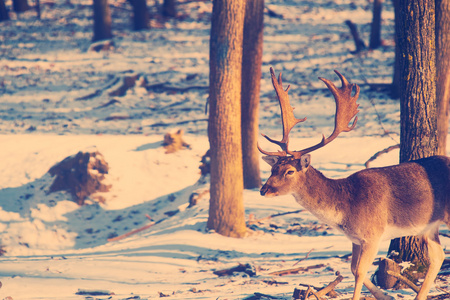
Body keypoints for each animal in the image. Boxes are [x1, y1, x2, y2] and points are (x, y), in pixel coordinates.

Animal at [256, 67, 450, 300]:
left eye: (289, 171)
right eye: (272, 169)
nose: (264, 190)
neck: (344, 209)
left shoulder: (373, 234)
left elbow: (359, 272)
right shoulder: (355, 239)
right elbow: (352, 268)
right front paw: (385, 296)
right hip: (429, 226)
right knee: (438, 256)